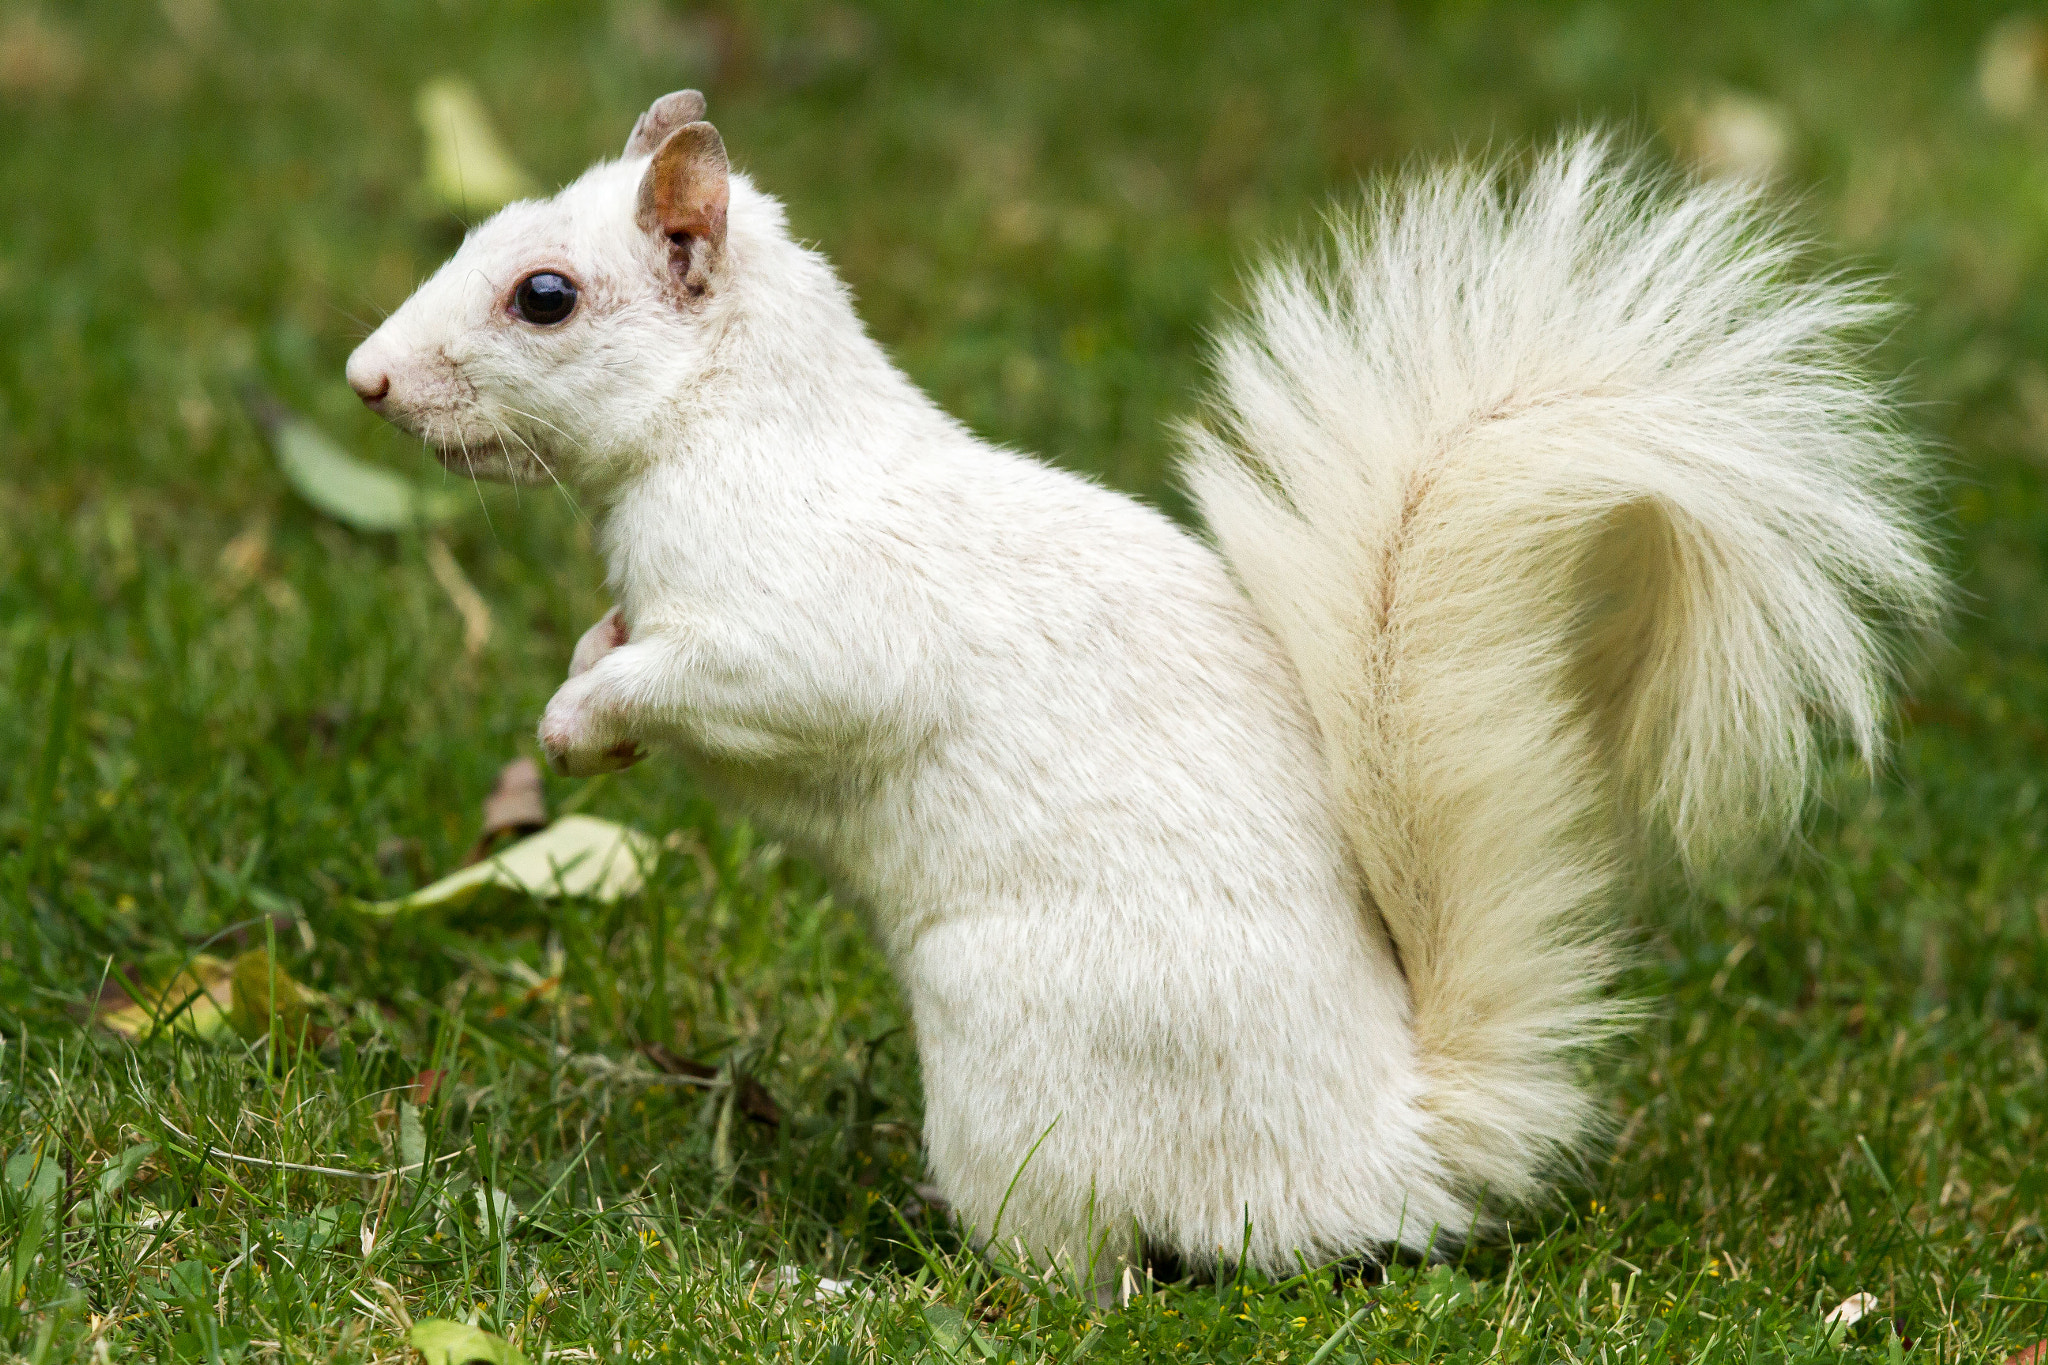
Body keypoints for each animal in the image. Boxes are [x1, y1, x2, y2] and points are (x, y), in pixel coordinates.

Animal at [347, 90, 1942, 1293]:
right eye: (487, 233)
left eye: (544, 297)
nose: (367, 378)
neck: (731, 425)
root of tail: (1372, 1148)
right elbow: (617, 640)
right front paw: (578, 689)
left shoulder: (810, 631)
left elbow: (732, 683)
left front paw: (580, 724)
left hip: (1020, 1061)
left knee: (1082, 1276)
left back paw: (867, 1281)